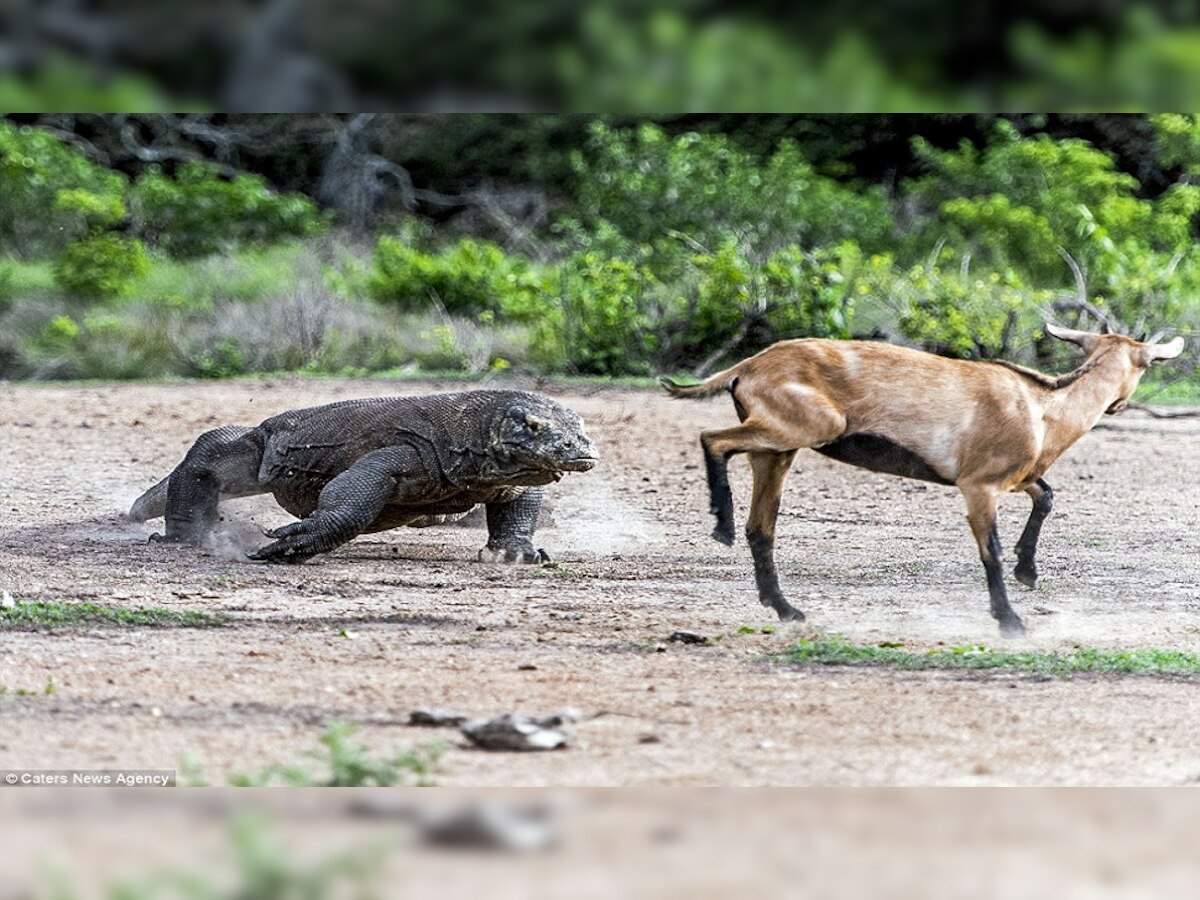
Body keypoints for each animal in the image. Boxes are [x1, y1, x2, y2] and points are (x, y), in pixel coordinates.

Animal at [662, 328, 1185, 638]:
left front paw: (1028, 571)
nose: (1117, 405)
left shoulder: (1016, 478)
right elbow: (990, 551)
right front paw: (1010, 620)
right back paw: (721, 525)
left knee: (762, 526)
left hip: (778, 450)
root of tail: (745, 367)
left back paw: (786, 607)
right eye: (1147, 364)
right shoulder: (978, 485)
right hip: (806, 427)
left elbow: (1047, 495)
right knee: (713, 440)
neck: (1042, 409)